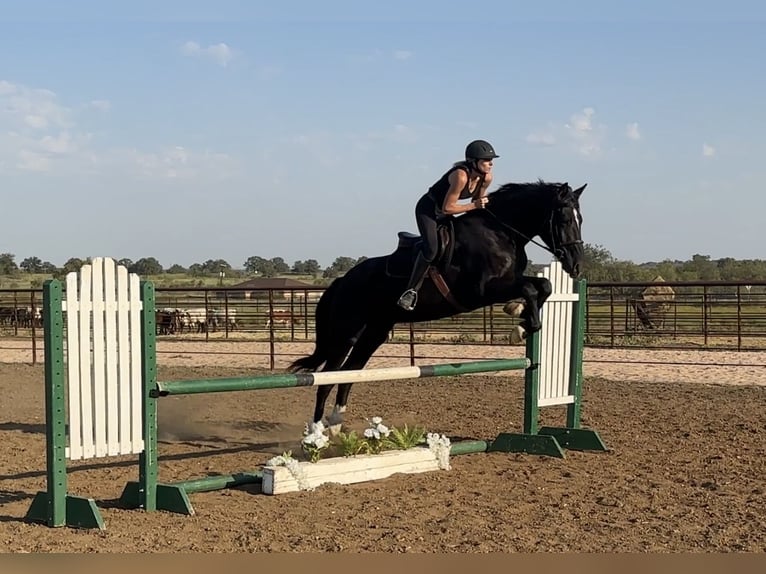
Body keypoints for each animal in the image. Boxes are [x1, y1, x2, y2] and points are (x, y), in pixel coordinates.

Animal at [288, 180, 588, 432]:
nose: (576, 266)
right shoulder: (481, 292)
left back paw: (336, 424)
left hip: (374, 333)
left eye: (581, 219)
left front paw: (521, 319)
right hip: (346, 333)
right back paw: (316, 433)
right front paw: (520, 324)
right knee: (326, 377)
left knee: (350, 373)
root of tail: (342, 280)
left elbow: (544, 286)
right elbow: (530, 288)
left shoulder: (507, 283)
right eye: (564, 218)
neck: (501, 233)